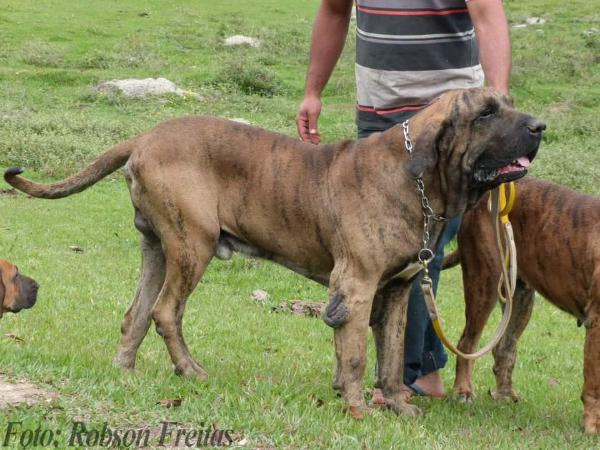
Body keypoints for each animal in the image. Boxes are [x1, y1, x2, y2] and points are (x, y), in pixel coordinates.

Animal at [3, 88, 544, 418]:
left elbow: (390, 355)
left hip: (157, 249)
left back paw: (125, 372)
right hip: (192, 245)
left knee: (134, 313)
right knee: (165, 312)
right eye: (486, 112)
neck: (418, 180)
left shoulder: (396, 290)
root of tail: (145, 135)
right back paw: (189, 370)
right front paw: (357, 408)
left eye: (510, 103)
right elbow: (355, 356)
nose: (539, 126)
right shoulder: (356, 286)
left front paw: (394, 404)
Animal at [446, 178, 600, 434]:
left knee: (504, 347)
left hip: (519, 297)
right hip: (485, 279)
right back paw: (463, 391)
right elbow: (594, 383)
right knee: (467, 342)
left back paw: (504, 395)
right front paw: (593, 425)